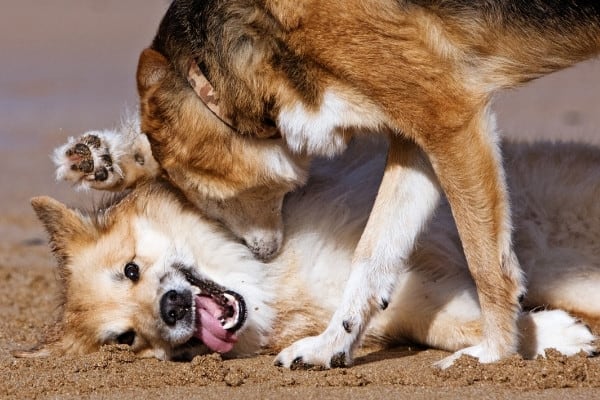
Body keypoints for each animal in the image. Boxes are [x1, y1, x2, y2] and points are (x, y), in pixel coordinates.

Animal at [132, 0, 600, 368]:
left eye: (208, 197)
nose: (262, 256)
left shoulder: (450, 119)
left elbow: (488, 268)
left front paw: (494, 356)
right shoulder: (417, 140)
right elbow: (372, 256)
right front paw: (331, 345)